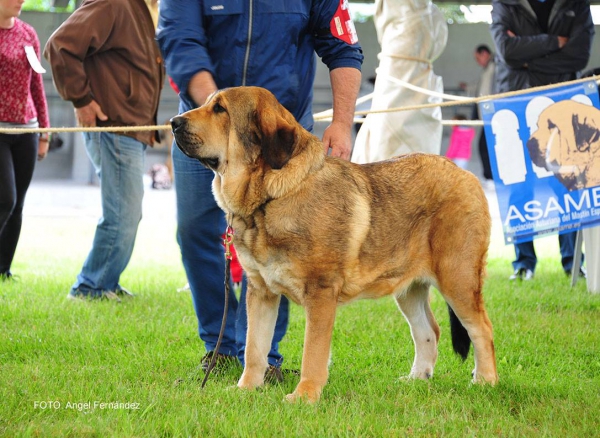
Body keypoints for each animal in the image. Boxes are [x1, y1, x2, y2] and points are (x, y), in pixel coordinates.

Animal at [170, 86, 496, 404]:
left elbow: (312, 352)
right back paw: (417, 379)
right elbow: (254, 348)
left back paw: (485, 382)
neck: (272, 197)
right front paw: (246, 389)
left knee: (482, 328)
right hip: (408, 289)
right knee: (428, 330)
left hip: (458, 279)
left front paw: (304, 396)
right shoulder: (261, 292)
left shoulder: (320, 292)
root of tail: (467, 175)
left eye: (220, 109)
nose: (173, 122)